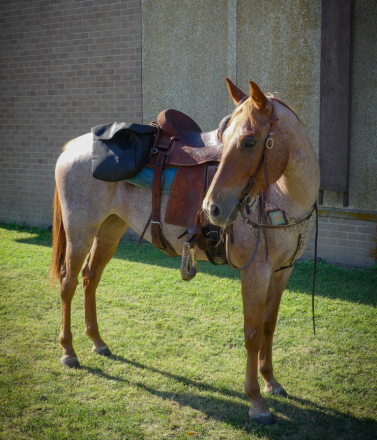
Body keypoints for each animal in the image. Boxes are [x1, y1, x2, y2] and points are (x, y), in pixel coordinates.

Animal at [50, 78, 318, 422]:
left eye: (249, 141)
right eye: (226, 139)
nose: (212, 208)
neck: (284, 196)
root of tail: (72, 147)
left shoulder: (283, 271)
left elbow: (269, 327)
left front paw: (272, 382)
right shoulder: (255, 272)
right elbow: (253, 333)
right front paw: (256, 401)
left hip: (110, 229)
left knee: (90, 278)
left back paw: (98, 342)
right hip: (80, 232)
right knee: (68, 283)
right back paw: (69, 352)